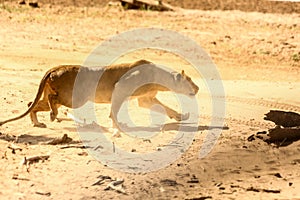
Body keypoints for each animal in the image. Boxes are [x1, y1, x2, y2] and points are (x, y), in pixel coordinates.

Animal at [0, 59, 199, 128]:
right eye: (190, 80)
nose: (197, 88)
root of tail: (56, 67)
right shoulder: (121, 87)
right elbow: (115, 109)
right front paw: (117, 125)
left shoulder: (146, 99)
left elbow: (166, 108)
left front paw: (182, 116)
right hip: (75, 98)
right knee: (51, 100)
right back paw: (52, 115)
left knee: (31, 104)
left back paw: (37, 122)